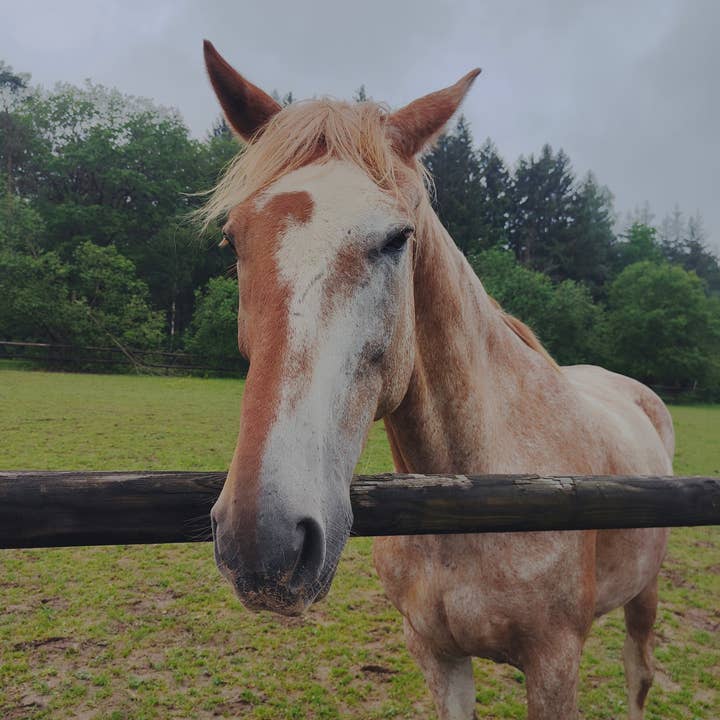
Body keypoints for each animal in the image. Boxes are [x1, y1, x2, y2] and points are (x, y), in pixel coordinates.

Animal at [202, 40, 674, 720]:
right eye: (234, 239)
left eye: (398, 238)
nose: (264, 543)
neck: (477, 497)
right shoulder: (436, 654)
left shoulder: (555, 665)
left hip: (646, 591)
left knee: (639, 673)